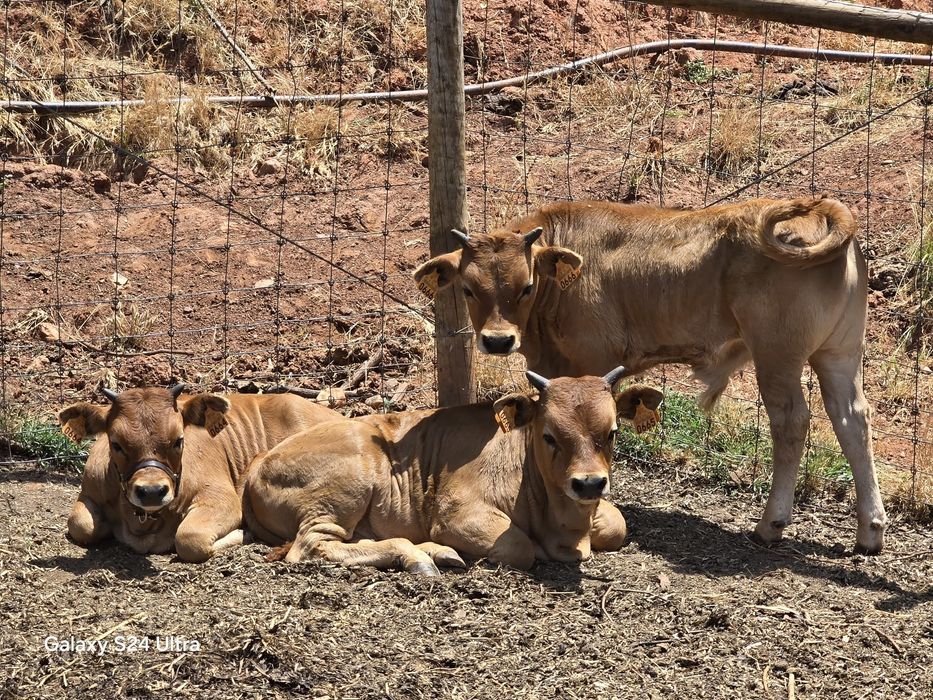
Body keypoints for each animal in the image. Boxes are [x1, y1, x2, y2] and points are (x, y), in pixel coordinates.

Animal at [59, 385, 341, 562]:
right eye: (116, 444)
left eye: (178, 440)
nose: (151, 491)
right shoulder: (89, 491)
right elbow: (80, 525)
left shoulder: (221, 499)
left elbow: (189, 539)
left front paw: (242, 534)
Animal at [242, 367, 663, 574]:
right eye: (549, 435)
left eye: (612, 432)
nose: (589, 483)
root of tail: (257, 464)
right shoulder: (457, 514)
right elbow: (520, 546)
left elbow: (617, 523)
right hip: (346, 486)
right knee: (312, 545)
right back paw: (418, 557)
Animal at [413, 196, 888, 554]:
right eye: (468, 289)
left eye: (526, 286)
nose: (497, 341)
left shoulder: (594, 361)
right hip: (839, 354)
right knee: (852, 420)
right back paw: (870, 532)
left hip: (778, 355)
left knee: (791, 422)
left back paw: (771, 523)